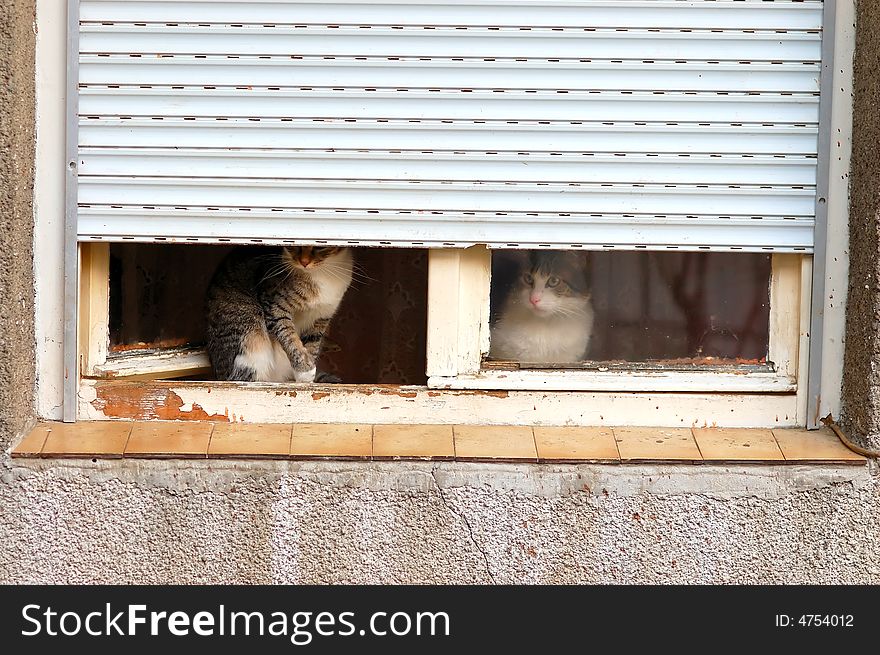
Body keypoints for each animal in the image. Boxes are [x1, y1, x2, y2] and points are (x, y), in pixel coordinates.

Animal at [206, 246, 354, 382]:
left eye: (319, 247)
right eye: (294, 246)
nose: (304, 262)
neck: (321, 273)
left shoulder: (321, 317)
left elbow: (312, 344)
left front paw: (308, 380)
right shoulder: (274, 305)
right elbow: (289, 337)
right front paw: (305, 371)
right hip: (250, 332)